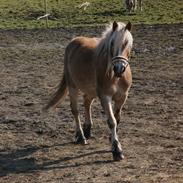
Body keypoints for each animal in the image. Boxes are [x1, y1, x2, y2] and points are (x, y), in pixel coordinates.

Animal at [44, 21, 133, 161]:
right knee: (75, 110)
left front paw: (112, 139)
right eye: (112, 43)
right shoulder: (105, 97)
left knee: (86, 103)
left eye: (127, 43)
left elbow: (117, 119)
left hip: (91, 90)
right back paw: (81, 136)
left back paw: (87, 130)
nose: (119, 68)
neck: (115, 77)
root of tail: (74, 41)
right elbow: (112, 121)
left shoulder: (122, 97)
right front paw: (117, 149)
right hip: (72, 86)